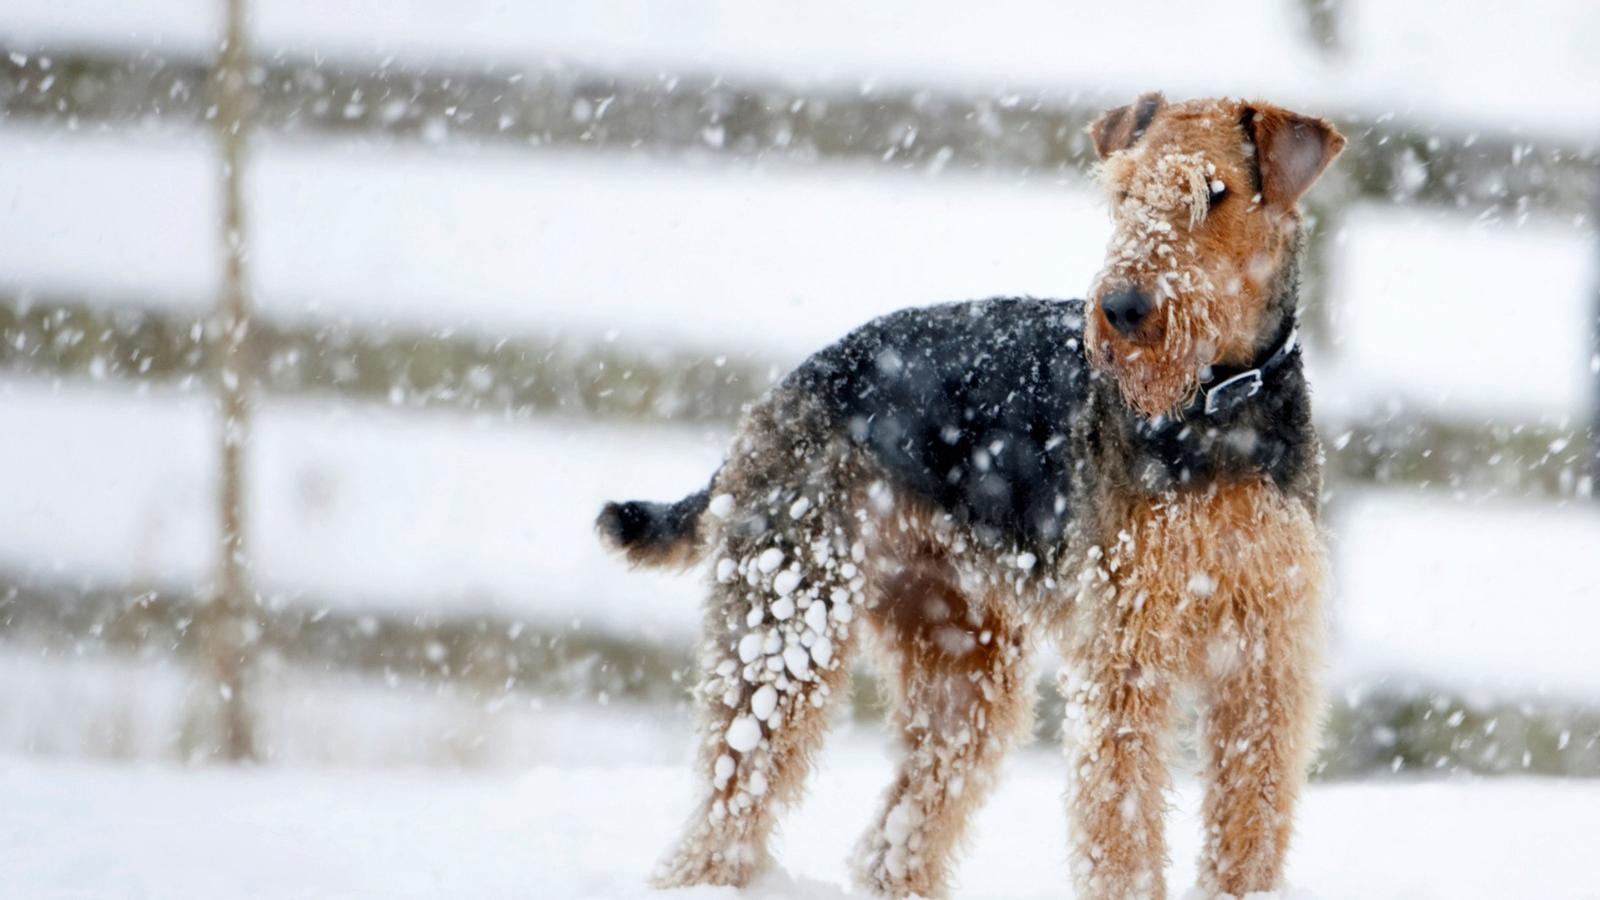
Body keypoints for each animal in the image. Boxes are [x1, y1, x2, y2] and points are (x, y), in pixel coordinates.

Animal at [595, 92, 1344, 896]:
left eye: (1216, 193)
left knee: (896, 834)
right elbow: (1122, 827)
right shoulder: (1123, 656)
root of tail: (780, 392)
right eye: (1122, 193)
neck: (1218, 416)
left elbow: (1249, 825)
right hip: (788, 622)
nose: (1122, 308)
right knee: (728, 805)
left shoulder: (1265, 663)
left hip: (963, 662)